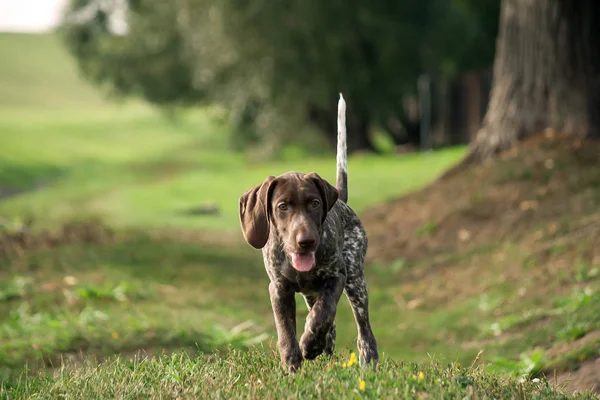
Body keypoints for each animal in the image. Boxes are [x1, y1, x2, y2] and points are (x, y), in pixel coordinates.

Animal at [239, 94, 380, 372]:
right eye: (282, 206)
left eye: (314, 203)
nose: (306, 241)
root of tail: (342, 200)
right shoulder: (279, 289)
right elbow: (286, 330)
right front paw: (292, 363)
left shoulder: (336, 277)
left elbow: (323, 314)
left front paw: (310, 342)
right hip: (310, 293)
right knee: (330, 325)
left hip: (356, 282)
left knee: (363, 329)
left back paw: (366, 361)